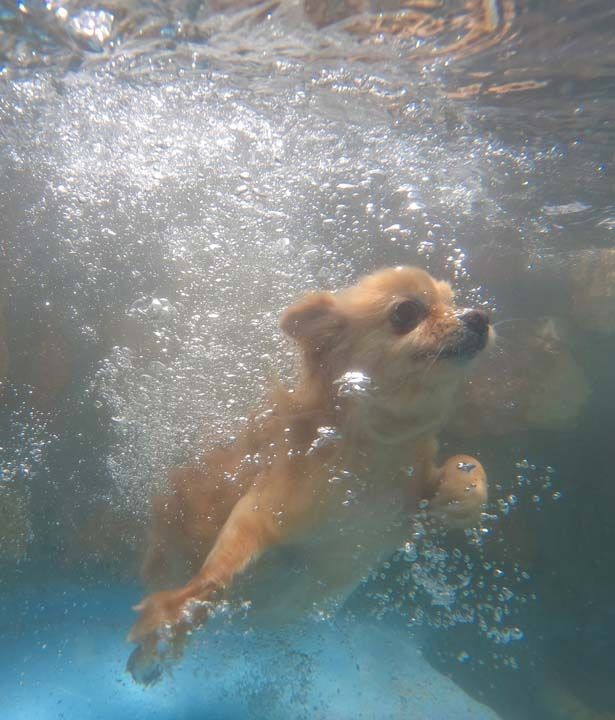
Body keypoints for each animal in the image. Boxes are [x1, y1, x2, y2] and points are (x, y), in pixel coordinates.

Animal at [129, 268, 490, 684]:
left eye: (453, 300)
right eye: (405, 312)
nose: (479, 317)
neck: (375, 454)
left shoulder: (409, 497)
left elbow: (467, 462)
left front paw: (464, 494)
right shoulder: (267, 506)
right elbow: (219, 571)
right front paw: (171, 617)